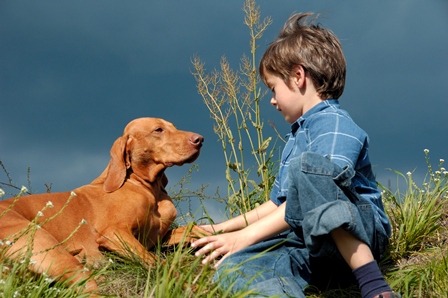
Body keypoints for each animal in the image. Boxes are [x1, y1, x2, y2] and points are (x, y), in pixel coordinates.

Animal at [0, 117, 209, 292]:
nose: (200, 139)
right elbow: (158, 262)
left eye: (174, 126)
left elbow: (194, 229)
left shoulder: (158, 239)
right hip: (50, 250)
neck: (148, 188)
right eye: (158, 130)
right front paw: (189, 285)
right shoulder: (114, 233)